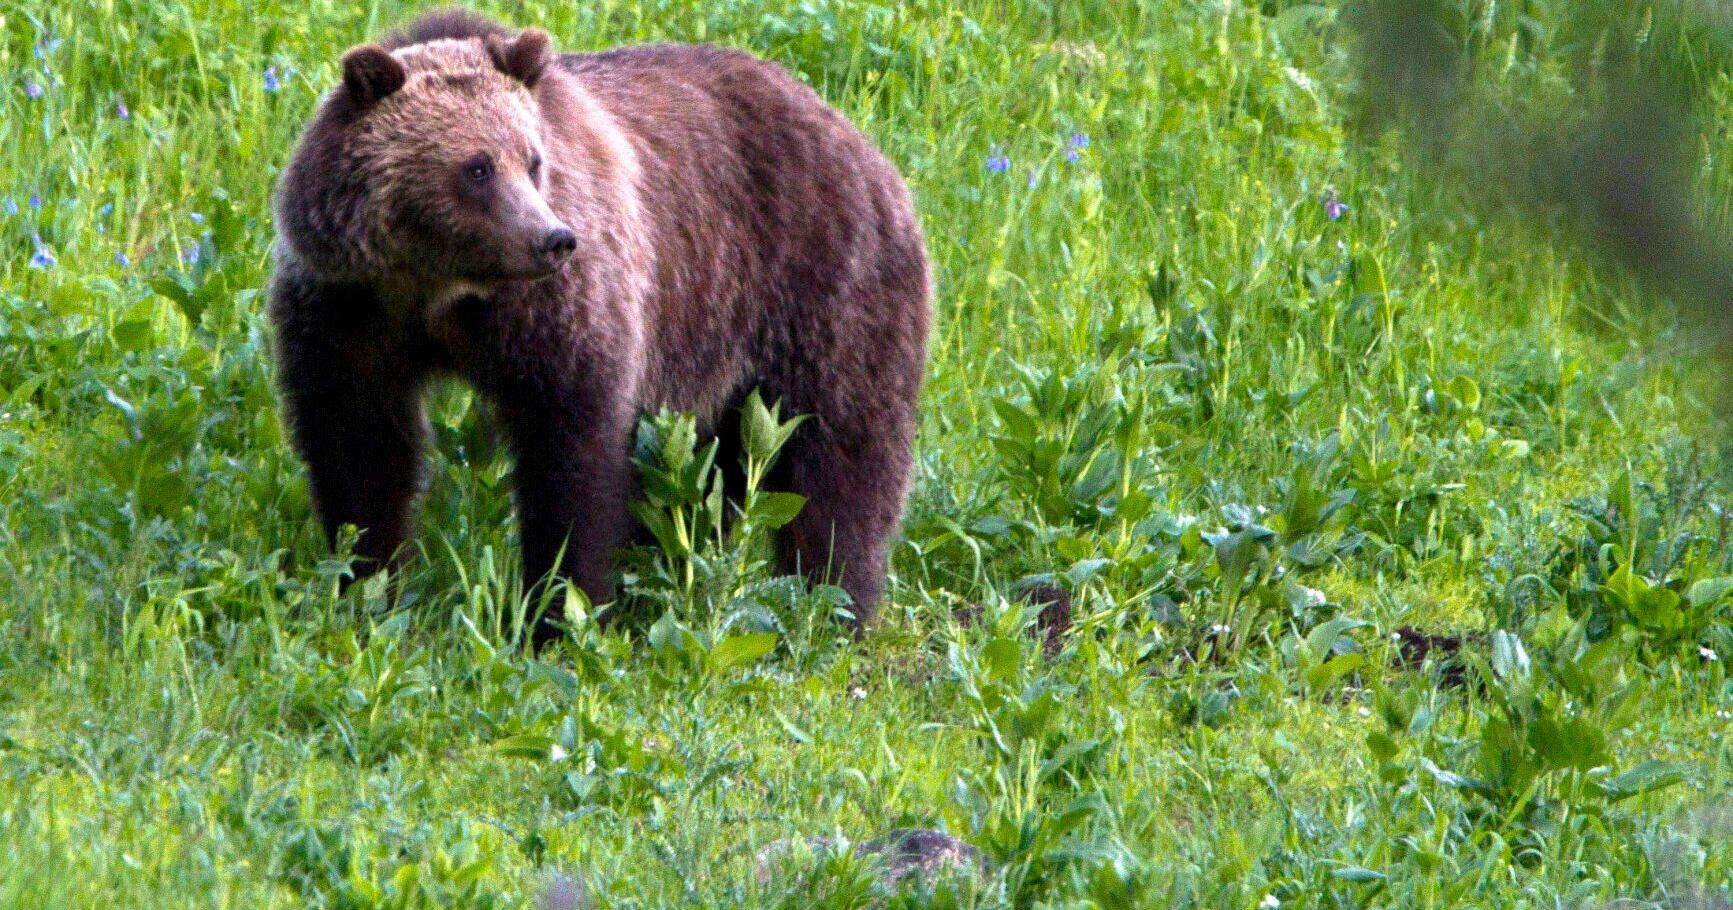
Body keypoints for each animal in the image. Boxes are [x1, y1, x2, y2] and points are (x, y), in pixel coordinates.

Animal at [270, 9, 931, 642]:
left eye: (533, 161)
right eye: (477, 168)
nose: (552, 238)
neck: (438, 289)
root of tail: (859, 137)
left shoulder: (557, 313)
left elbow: (572, 454)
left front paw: (559, 611)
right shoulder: (349, 309)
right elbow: (359, 445)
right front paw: (366, 582)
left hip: (821, 288)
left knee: (841, 456)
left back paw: (834, 603)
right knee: (714, 472)